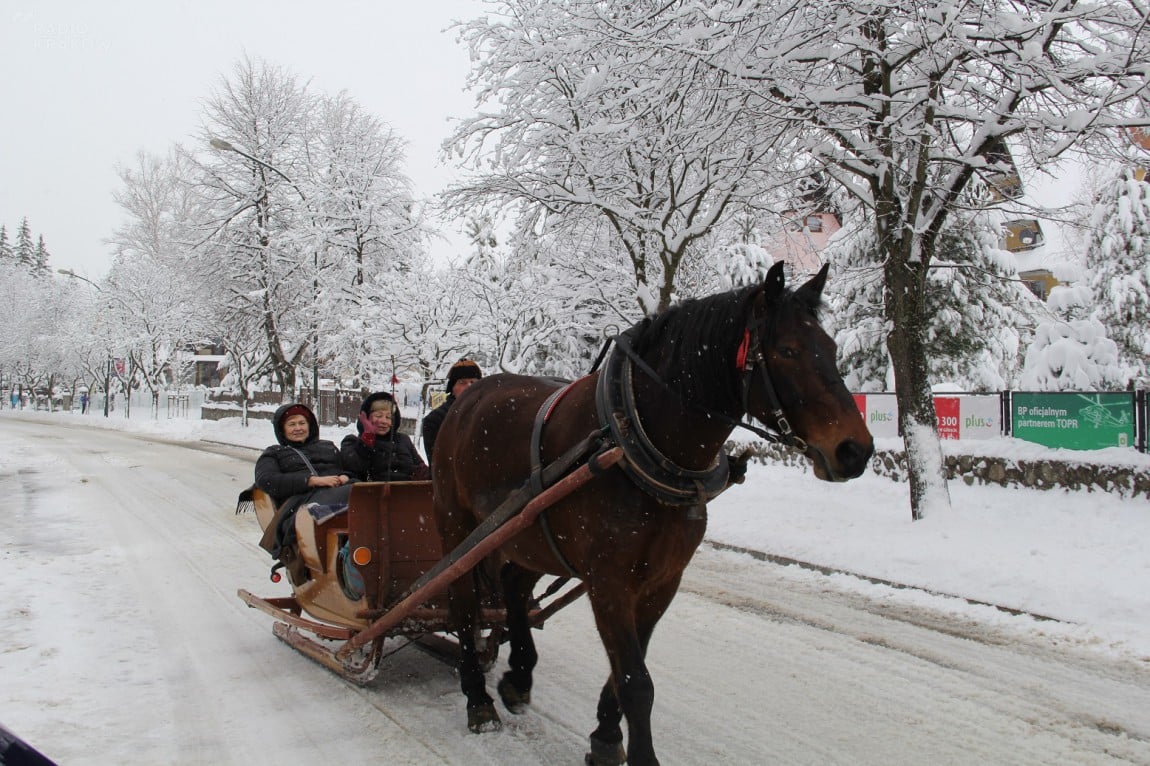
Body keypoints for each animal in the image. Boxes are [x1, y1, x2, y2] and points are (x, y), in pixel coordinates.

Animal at [432, 259, 869, 759]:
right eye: (788, 350)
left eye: (831, 347)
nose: (855, 450)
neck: (635, 436)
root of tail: (465, 399)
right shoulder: (608, 580)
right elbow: (635, 681)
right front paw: (632, 749)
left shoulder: (662, 580)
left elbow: (627, 671)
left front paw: (605, 734)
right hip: (457, 527)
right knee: (463, 604)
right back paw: (477, 697)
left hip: (531, 532)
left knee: (513, 586)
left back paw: (519, 677)